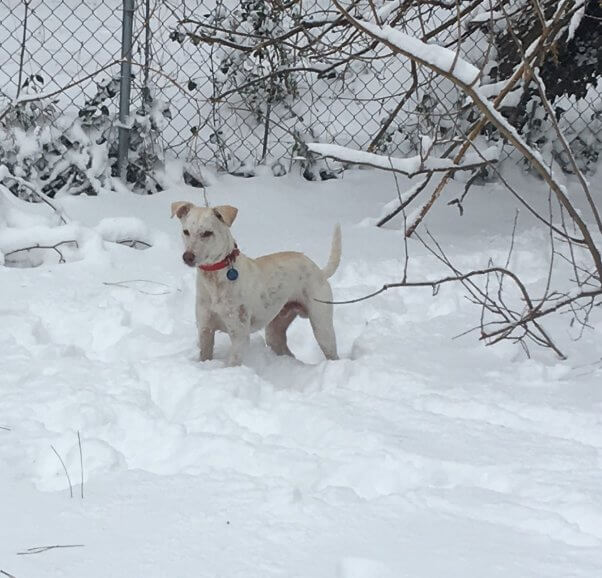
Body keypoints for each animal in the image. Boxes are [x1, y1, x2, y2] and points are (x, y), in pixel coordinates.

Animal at [171, 201, 340, 364]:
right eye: (186, 232)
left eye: (207, 233)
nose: (187, 256)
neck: (215, 278)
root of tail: (319, 270)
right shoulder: (205, 329)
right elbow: (204, 355)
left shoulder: (239, 335)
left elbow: (232, 363)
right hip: (274, 331)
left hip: (322, 326)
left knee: (332, 352)